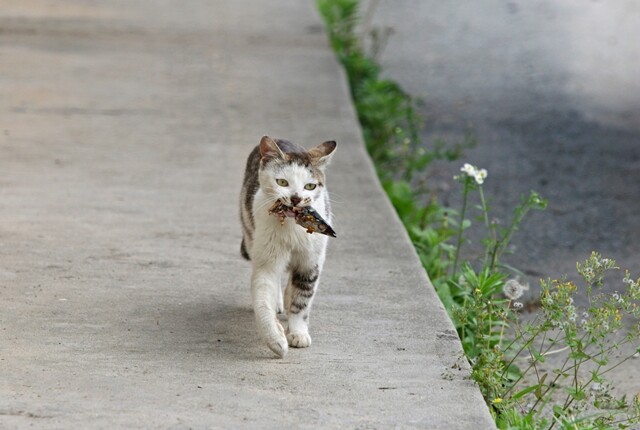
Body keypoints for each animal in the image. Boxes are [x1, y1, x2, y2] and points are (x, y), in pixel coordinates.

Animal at [240, 136, 338, 358]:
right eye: (282, 182)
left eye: (310, 186)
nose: (295, 198)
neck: (293, 227)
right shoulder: (266, 259)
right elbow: (262, 299)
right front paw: (275, 339)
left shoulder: (311, 262)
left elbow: (302, 299)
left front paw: (298, 333)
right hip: (251, 234)